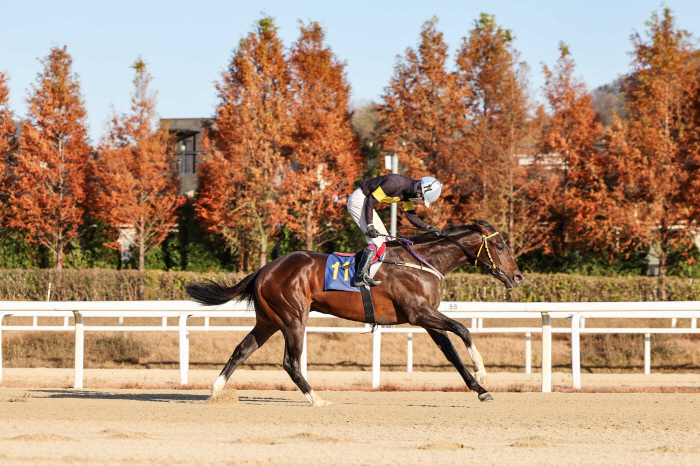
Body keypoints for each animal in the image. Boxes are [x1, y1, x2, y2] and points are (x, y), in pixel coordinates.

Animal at [186, 218, 524, 404]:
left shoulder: (427, 319)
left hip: (269, 320)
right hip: (293, 318)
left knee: (241, 349)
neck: (421, 262)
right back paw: (316, 399)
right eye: (502, 246)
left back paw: (215, 390)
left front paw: (480, 389)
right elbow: (463, 329)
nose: (518, 276)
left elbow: (451, 353)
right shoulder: (419, 313)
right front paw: (482, 369)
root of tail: (263, 270)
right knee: (290, 362)